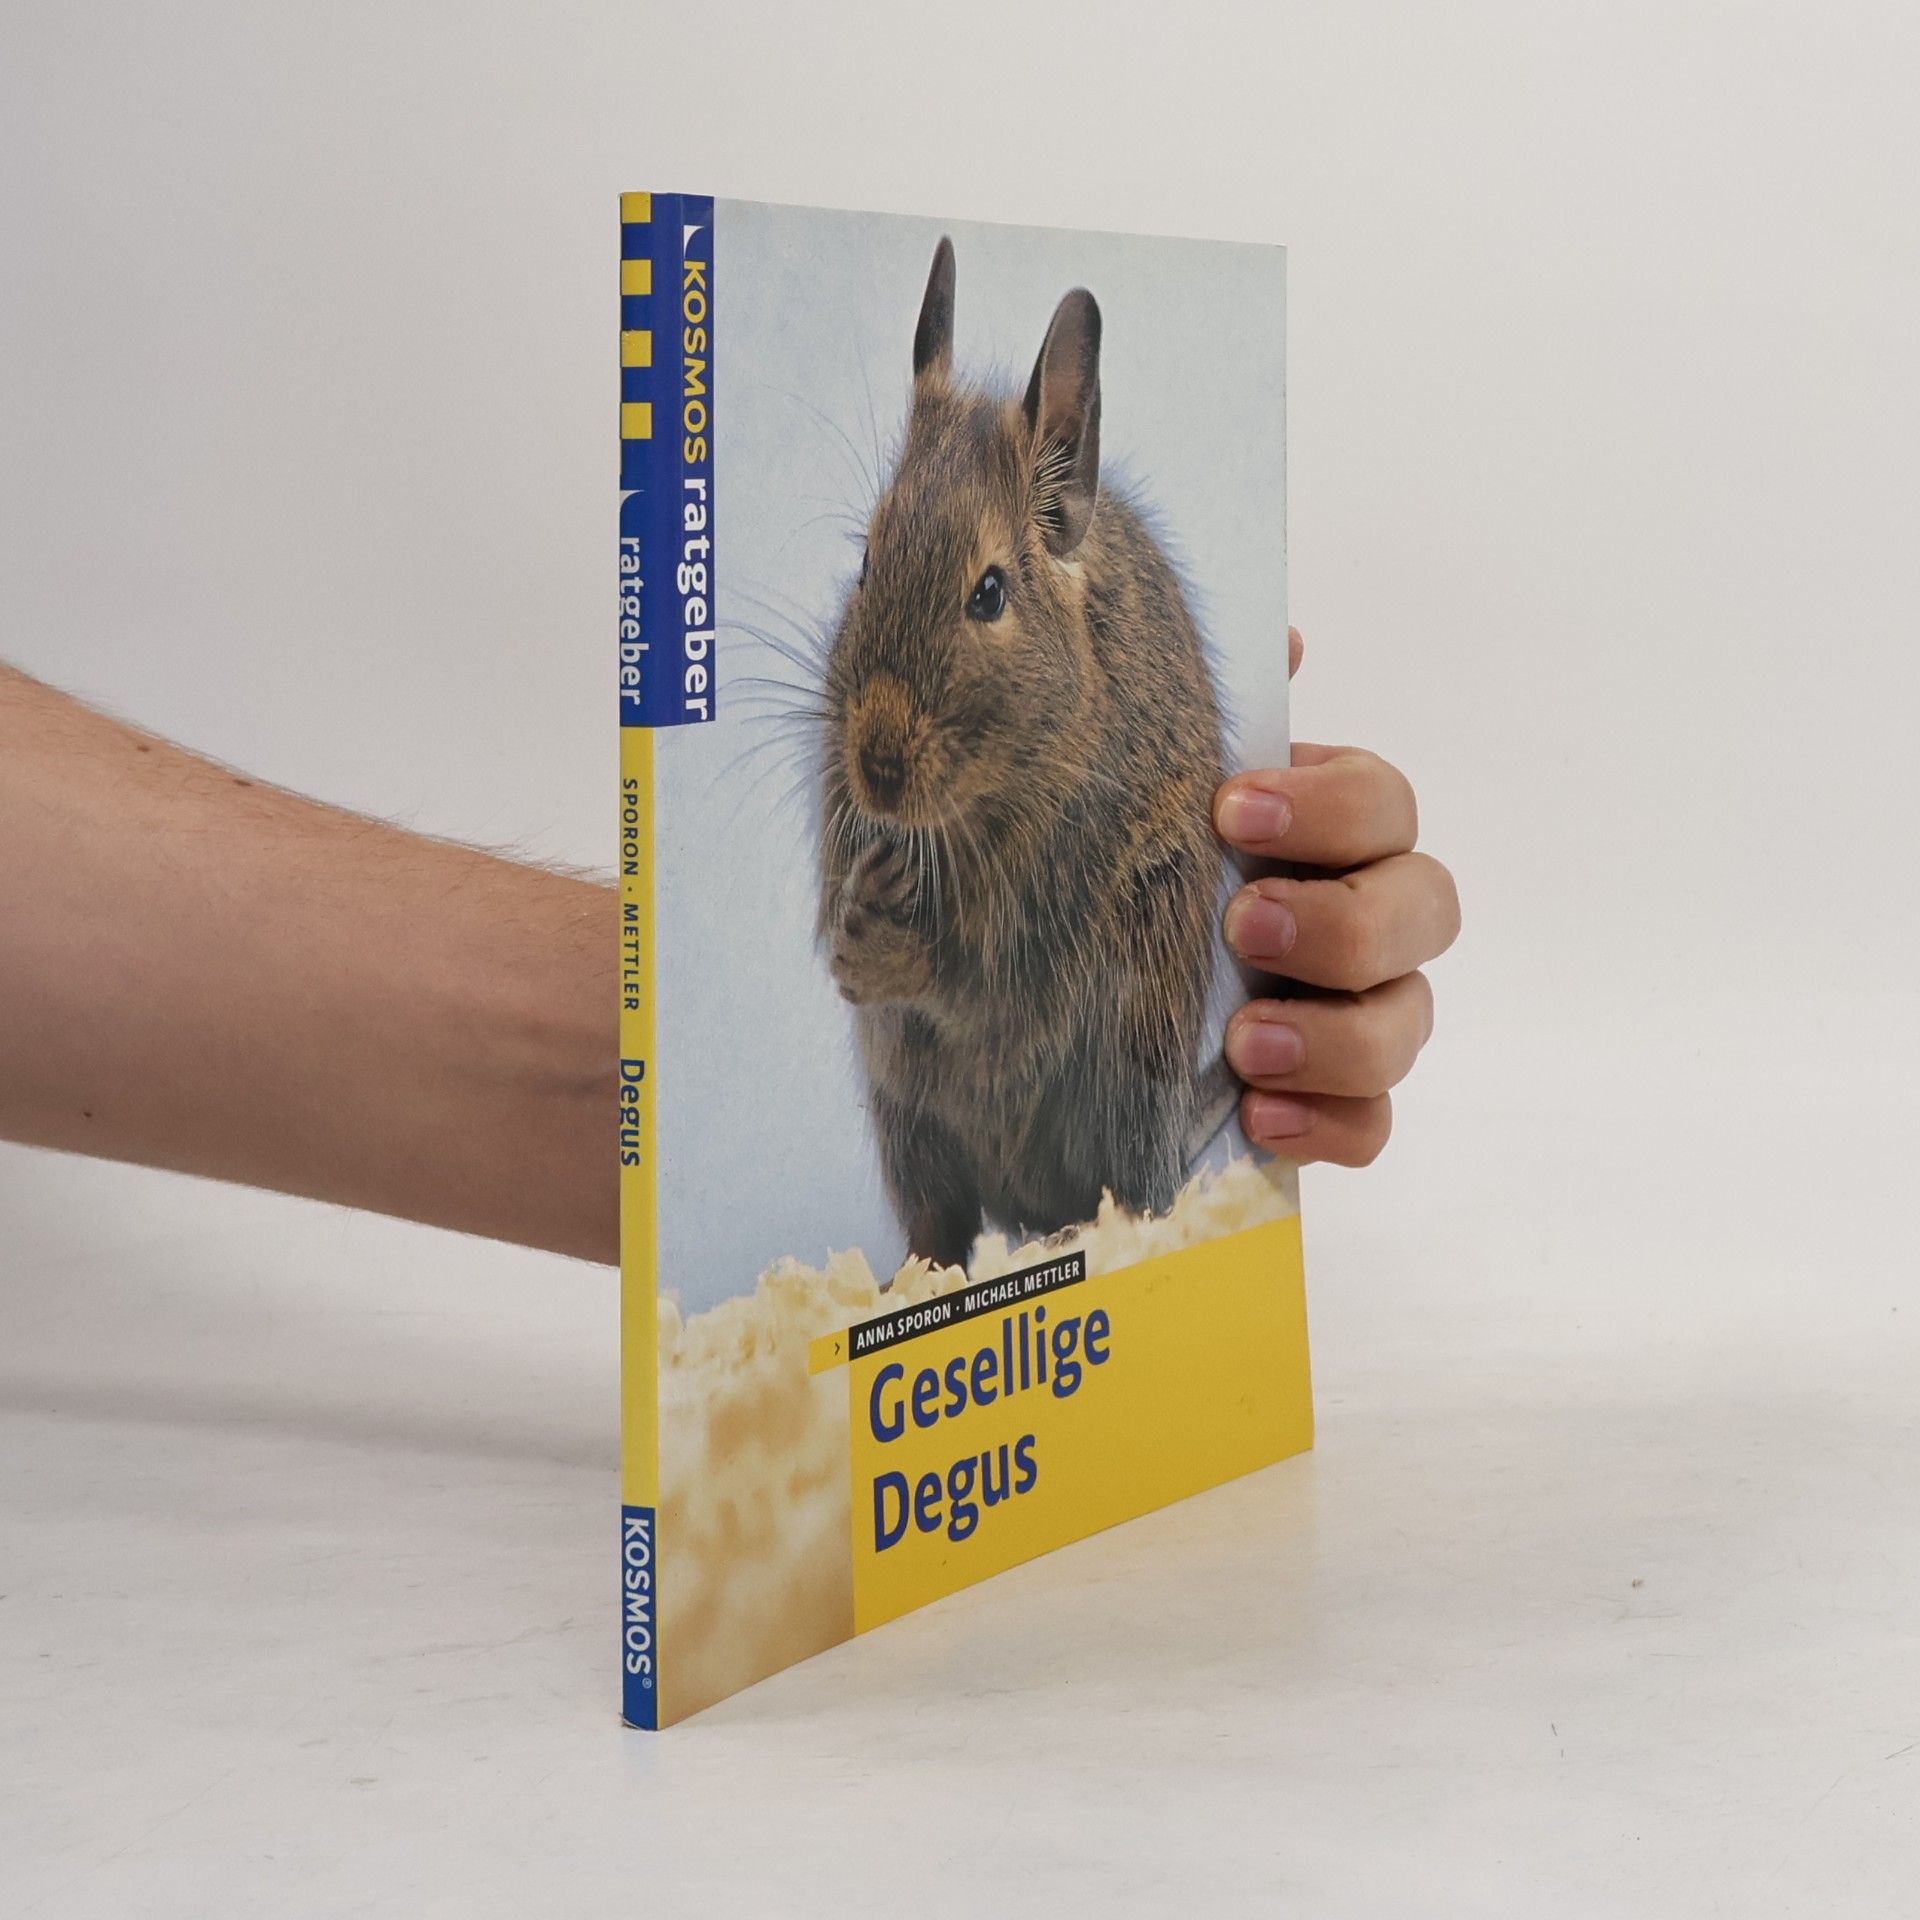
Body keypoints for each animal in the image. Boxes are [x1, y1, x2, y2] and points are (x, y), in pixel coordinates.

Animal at [818, 237, 1229, 1272]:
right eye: (866, 562)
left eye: (990, 592)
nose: (877, 770)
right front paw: (853, 923)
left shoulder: (1045, 914)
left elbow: (979, 981)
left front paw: (882, 955)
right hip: (907, 1120)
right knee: (941, 1224)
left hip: (1135, 1041)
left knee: (1134, 1191)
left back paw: (1095, 1235)